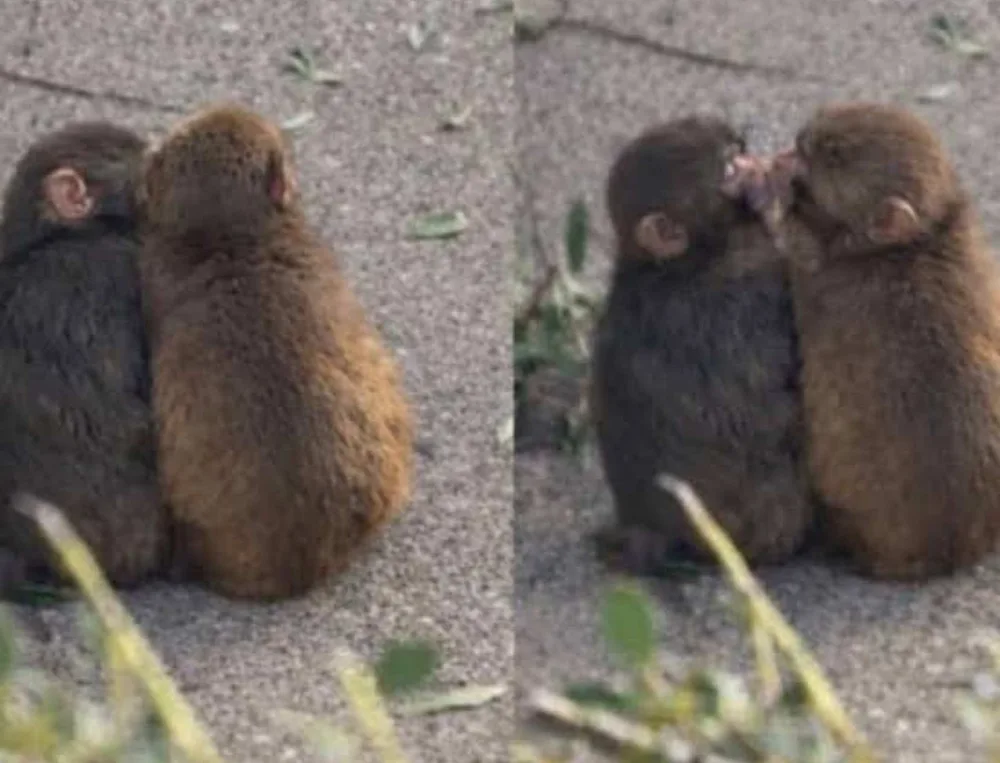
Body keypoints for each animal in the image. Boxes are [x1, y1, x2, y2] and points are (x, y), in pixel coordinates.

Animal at [739, 101, 1000, 581]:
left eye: (834, 155)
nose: (798, 143)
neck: (916, 242)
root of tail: (948, 552)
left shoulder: (823, 280)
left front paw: (767, 191)